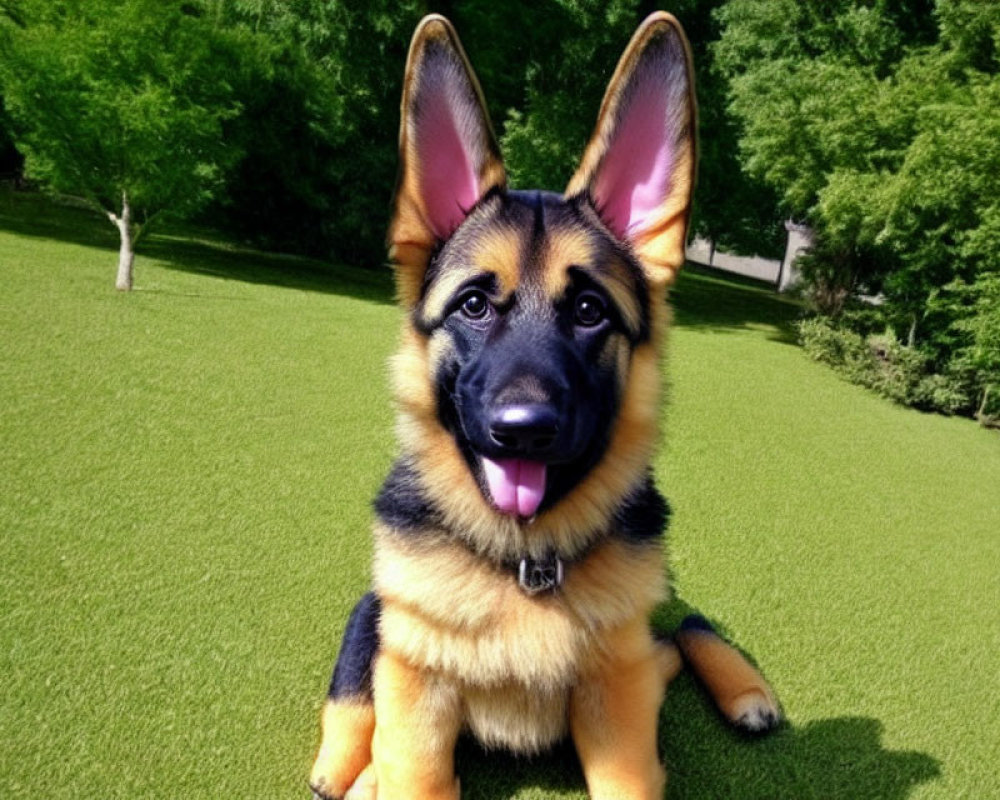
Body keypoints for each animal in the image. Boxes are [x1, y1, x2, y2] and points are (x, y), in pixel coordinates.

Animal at [308, 12, 776, 800]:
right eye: (472, 305)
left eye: (589, 311)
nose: (522, 432)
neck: (524, 564)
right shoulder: (417, 693)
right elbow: (405, 757)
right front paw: (373, 766)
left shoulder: (619, 705)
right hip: (385, 619)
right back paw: (349, 763)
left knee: (685, 628)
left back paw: (750, 694)